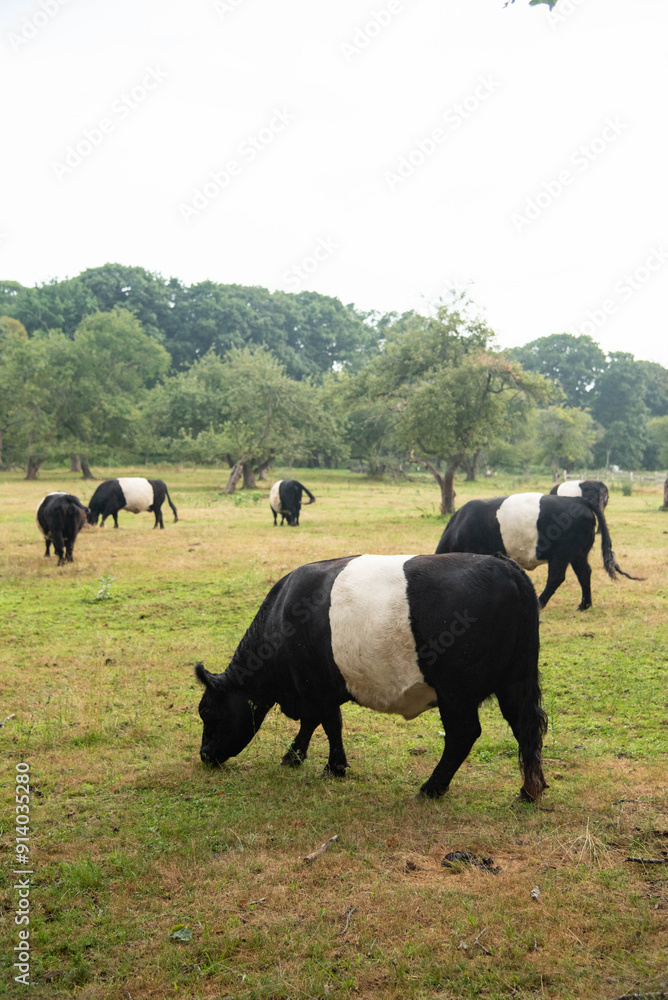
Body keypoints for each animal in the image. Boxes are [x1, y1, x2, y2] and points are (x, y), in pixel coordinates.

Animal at [195, 551, 548, 802]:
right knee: (525, 727)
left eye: (207, 711)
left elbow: (329, 723)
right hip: (514, 681)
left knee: (464, 735)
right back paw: (530, 790)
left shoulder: (315, 683)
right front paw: (294, 756)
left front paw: (333, 768)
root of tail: (506, 566)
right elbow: (312, 722)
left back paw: (431, 789)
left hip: (456, 691)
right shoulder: (311, 688)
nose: (204, 755)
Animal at [435, 493, 641, 610]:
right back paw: (584, 605)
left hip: (561, 554)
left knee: (557, 577)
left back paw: (540, 602)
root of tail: (578, 500)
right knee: (584, 573)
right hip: (577, 553)